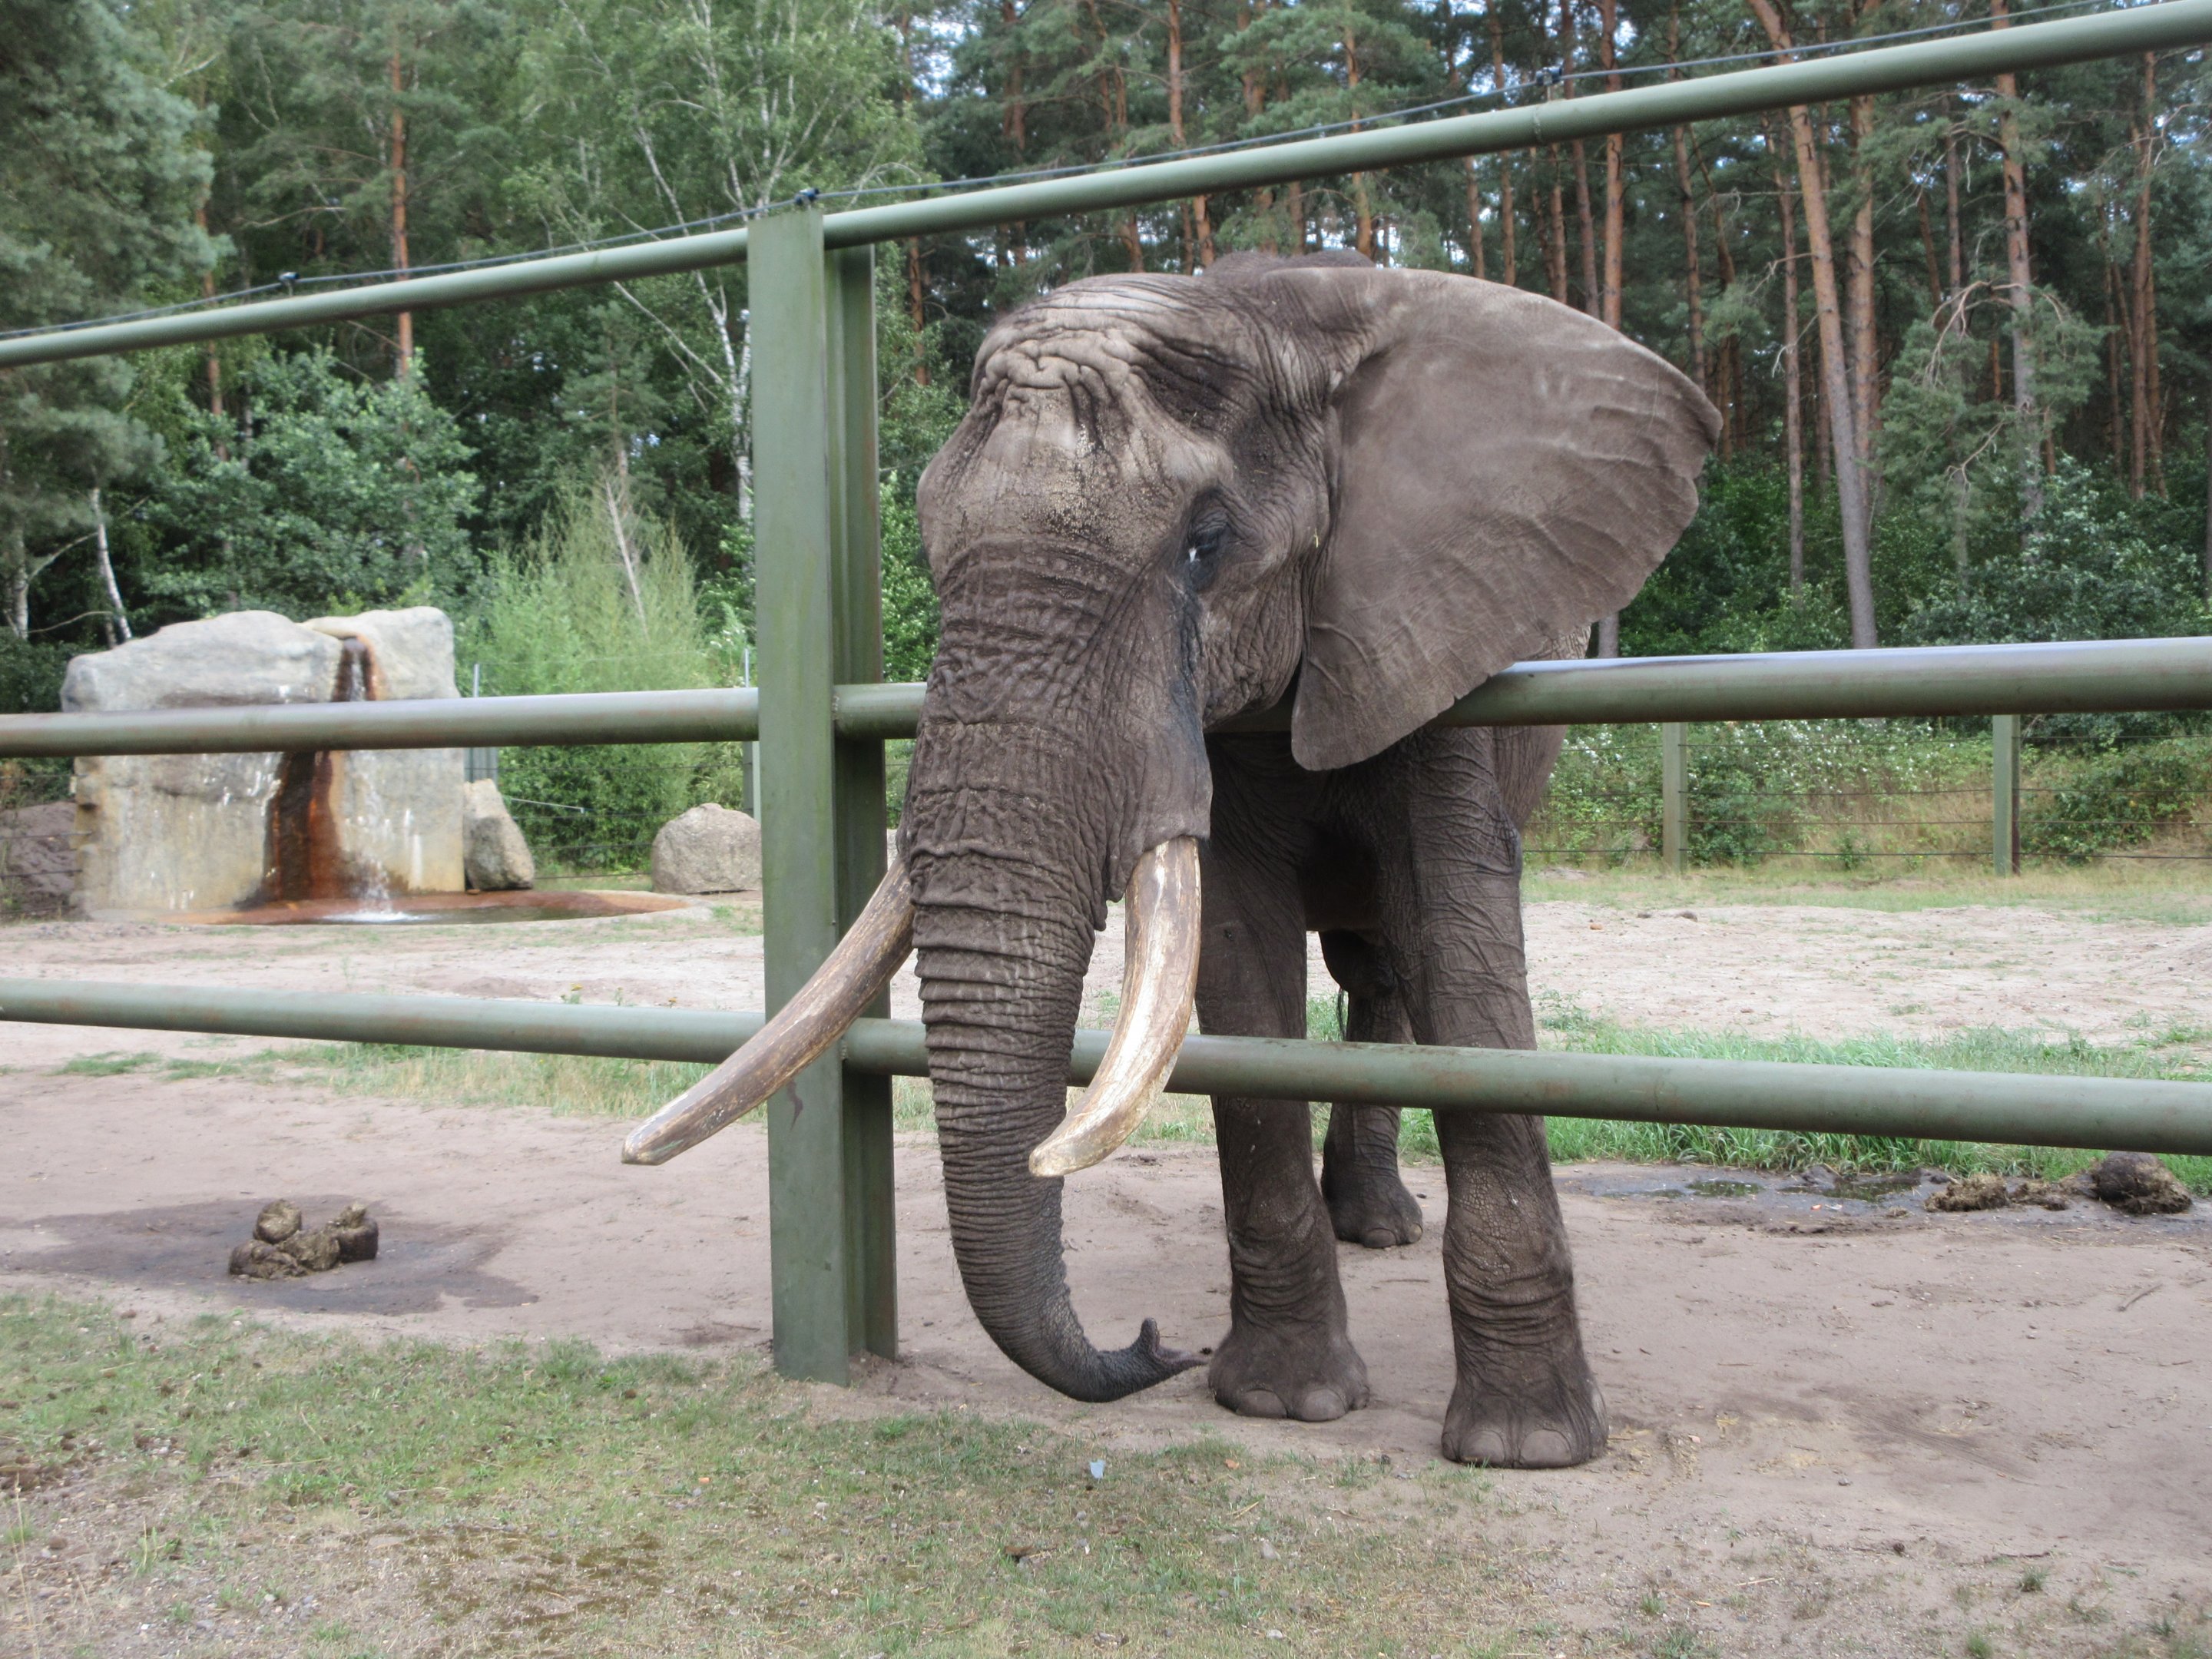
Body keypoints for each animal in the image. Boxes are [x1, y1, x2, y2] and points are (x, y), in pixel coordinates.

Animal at [635, 251, 1716, 1467]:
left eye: (1206, 544)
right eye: (928, 546)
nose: (1152, 1346)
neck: (1268, 312)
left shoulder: (1436, 629)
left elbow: (1460, 949)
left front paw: (1524, 1448)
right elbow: (1237, 960)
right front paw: (1285, 1404)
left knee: (1391, 962)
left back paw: (1380, 1230)